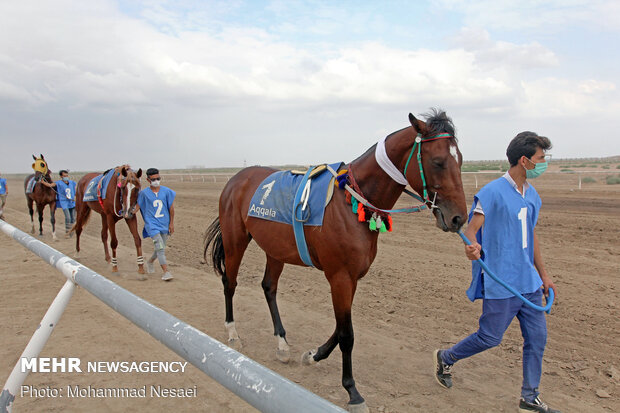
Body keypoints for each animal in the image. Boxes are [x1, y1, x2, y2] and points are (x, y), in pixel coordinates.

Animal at [206, 108, 468, 408]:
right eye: (438, 162)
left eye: (460, 160)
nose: (459, 218)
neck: (352, 202)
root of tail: (237, 178)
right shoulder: (340, 276)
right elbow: (347, 334)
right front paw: (352, 391)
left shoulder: (352, 277)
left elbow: (341, 326)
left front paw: (314, 355)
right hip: (235, 240)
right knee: (230, 282)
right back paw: (232, 333)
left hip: (275, 249)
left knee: (269, 287)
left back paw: (282, 343)